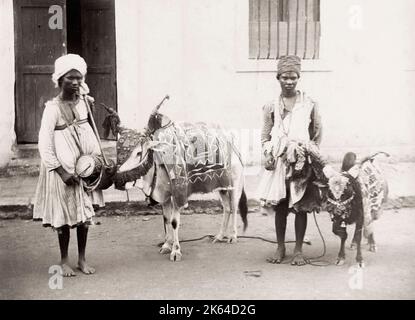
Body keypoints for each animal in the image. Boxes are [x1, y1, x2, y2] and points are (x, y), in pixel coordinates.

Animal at [102, 96, 249, 262]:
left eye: (139, 152)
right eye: (118, 150)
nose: (118, 180)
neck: (157, 162)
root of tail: (231, 143)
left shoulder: (178, 194)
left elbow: (174, 222)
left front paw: (176, 251)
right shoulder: (165, 196)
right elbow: (166, 219)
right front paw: (166, 245)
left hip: (235, 185)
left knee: (234, 207)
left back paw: (232, 236)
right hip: (222, 187)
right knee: (227, 208)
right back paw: (219, 236)